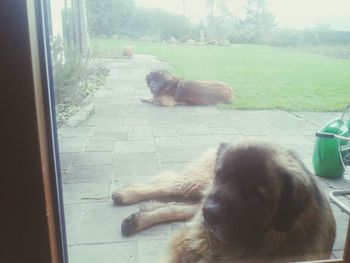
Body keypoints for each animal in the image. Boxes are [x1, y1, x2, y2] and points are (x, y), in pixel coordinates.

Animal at [112, 141, 336, 262]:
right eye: (220, 175)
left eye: (254, 196)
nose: (211, 213)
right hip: (200, 186)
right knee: (170, 186)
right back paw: (126, 194)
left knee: (179, 208)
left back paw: (137, 220)